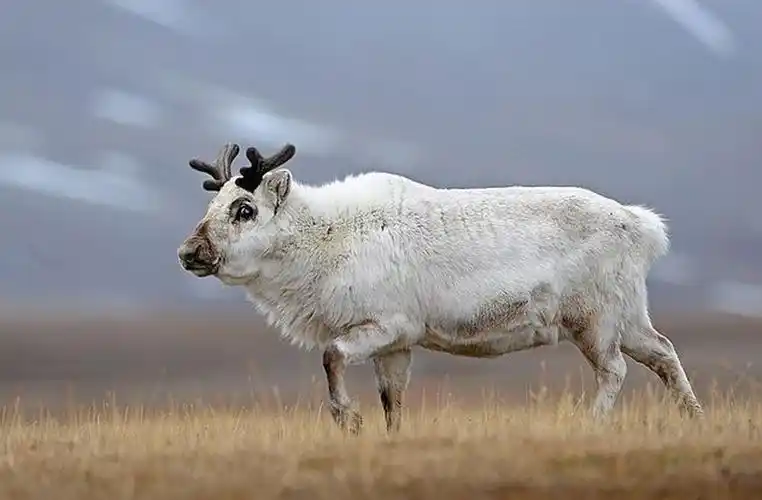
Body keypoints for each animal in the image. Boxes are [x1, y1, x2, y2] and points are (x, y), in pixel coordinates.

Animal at [177, 142, 703, 434]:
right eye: (213, 205)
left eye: (245, 209)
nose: (188, 252)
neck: (324, 238)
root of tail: (642, 225)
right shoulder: (397, 347)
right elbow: (393, 403)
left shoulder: (386, 325)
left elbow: (330, 357)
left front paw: (349, 419)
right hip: (628, 316)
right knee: (664, 351)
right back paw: (694, 418)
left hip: (592, 320)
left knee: (615, 370)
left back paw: (591, 424)